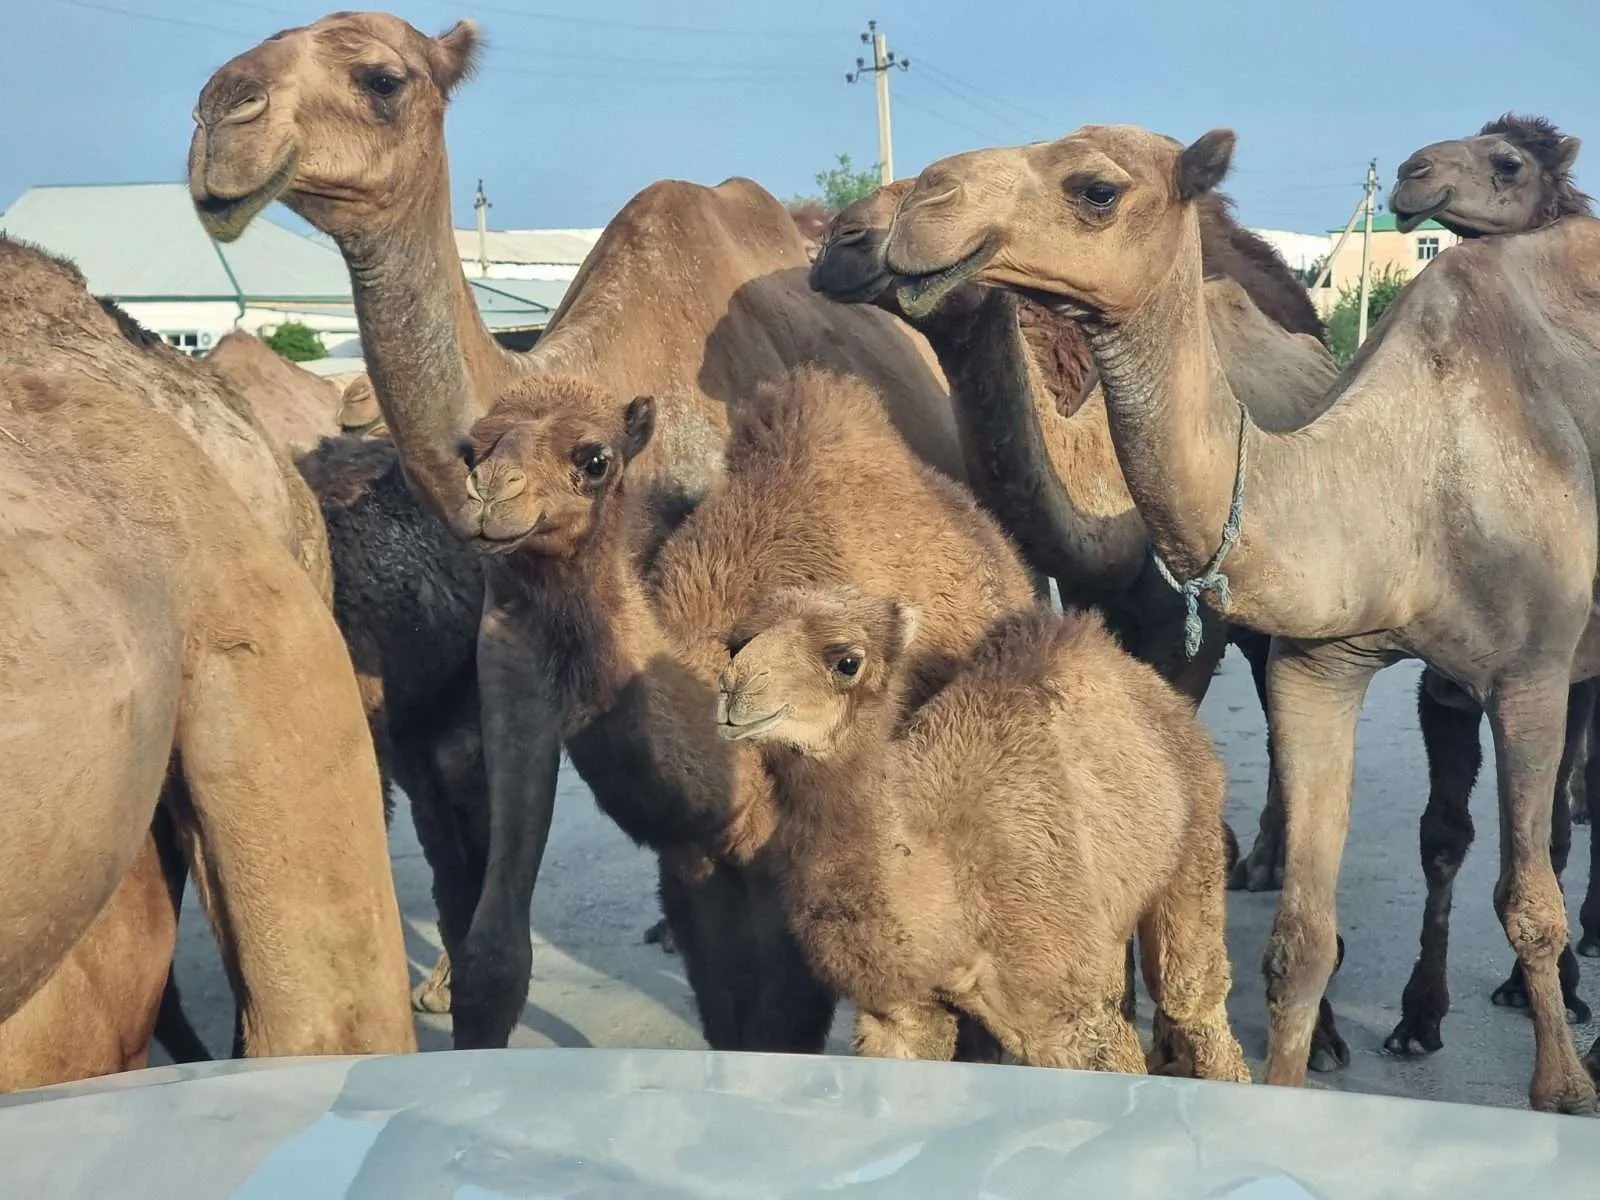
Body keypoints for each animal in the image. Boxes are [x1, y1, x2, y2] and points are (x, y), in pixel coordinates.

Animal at [455, 367, 1037, 1053]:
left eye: (595, 459)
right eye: (469, 451)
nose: (489, 497)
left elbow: (779, 1030)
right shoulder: (693, 873)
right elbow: (726, 1021)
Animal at [715, 585, 1249, 1081]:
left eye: (847, 661)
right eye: (736, 643)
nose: (733, 688)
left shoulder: (1064, 1009)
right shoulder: (901, 1013)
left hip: (1196, 832)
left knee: (1190, 996)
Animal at [883, 123, 1600, 1113]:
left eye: (1097, 189)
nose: (917, 203)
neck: (1404, 479)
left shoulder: (1530, 672)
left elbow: (1528, 900)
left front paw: (1565, 1091)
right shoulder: (1318, 664)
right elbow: (1299, 941)